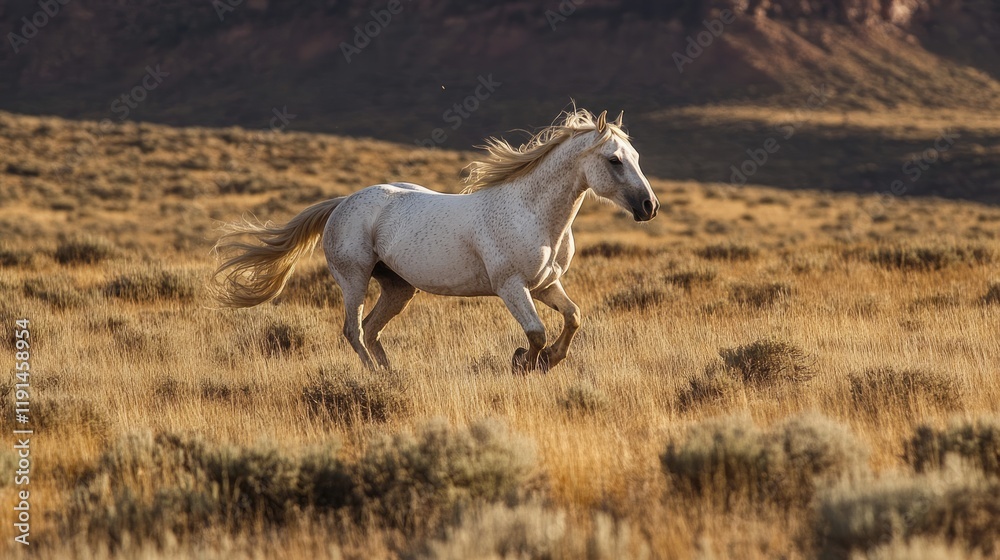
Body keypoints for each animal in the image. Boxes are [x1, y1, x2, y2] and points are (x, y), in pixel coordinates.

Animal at [212, 108, 658, 373]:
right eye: (614, 160)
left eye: (636, 157)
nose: (649, 206)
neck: (533, 214)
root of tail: (343, 203)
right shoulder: (511, 286)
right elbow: (535, 332)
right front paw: (523, 361)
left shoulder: (546, 285)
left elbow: (573, 317)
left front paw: (548, 361)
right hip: (354, 279)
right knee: (353, 331)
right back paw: (374, 377)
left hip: (398, 287)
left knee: (371, 330)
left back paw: (391, 374)